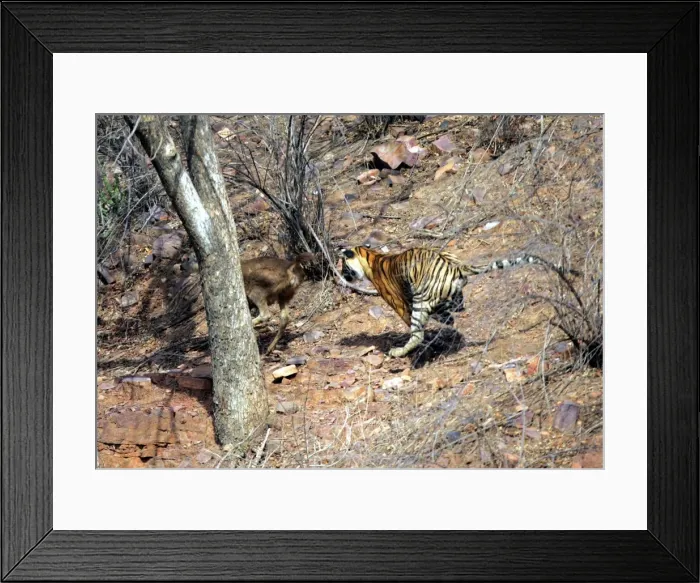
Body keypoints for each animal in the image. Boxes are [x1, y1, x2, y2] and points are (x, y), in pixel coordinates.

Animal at [339, 245, 571, 358]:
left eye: (343, 266)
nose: (342, 275)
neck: (370, 257)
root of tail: (457, 267)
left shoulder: (400, 304)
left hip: (420, 301)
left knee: (418, 334)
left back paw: (399, 352)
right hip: (446, 295)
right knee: (453, 313)